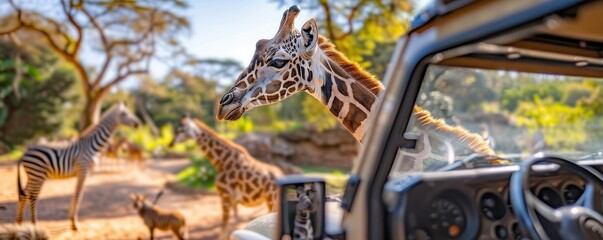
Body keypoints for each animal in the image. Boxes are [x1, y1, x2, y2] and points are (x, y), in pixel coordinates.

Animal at [15, 100, 141, 230]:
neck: (92, 144)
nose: (138, 124)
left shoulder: (84, 173)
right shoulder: (83, 170)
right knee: (32, 197)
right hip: (38, 175)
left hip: (33, 175)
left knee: (24, 194)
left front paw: (72, 220)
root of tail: (26, 152)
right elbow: (78, 196)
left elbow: (76, 194)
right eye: (124, 114)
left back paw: (19, 224)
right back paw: (35, 225)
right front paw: (74, 223)